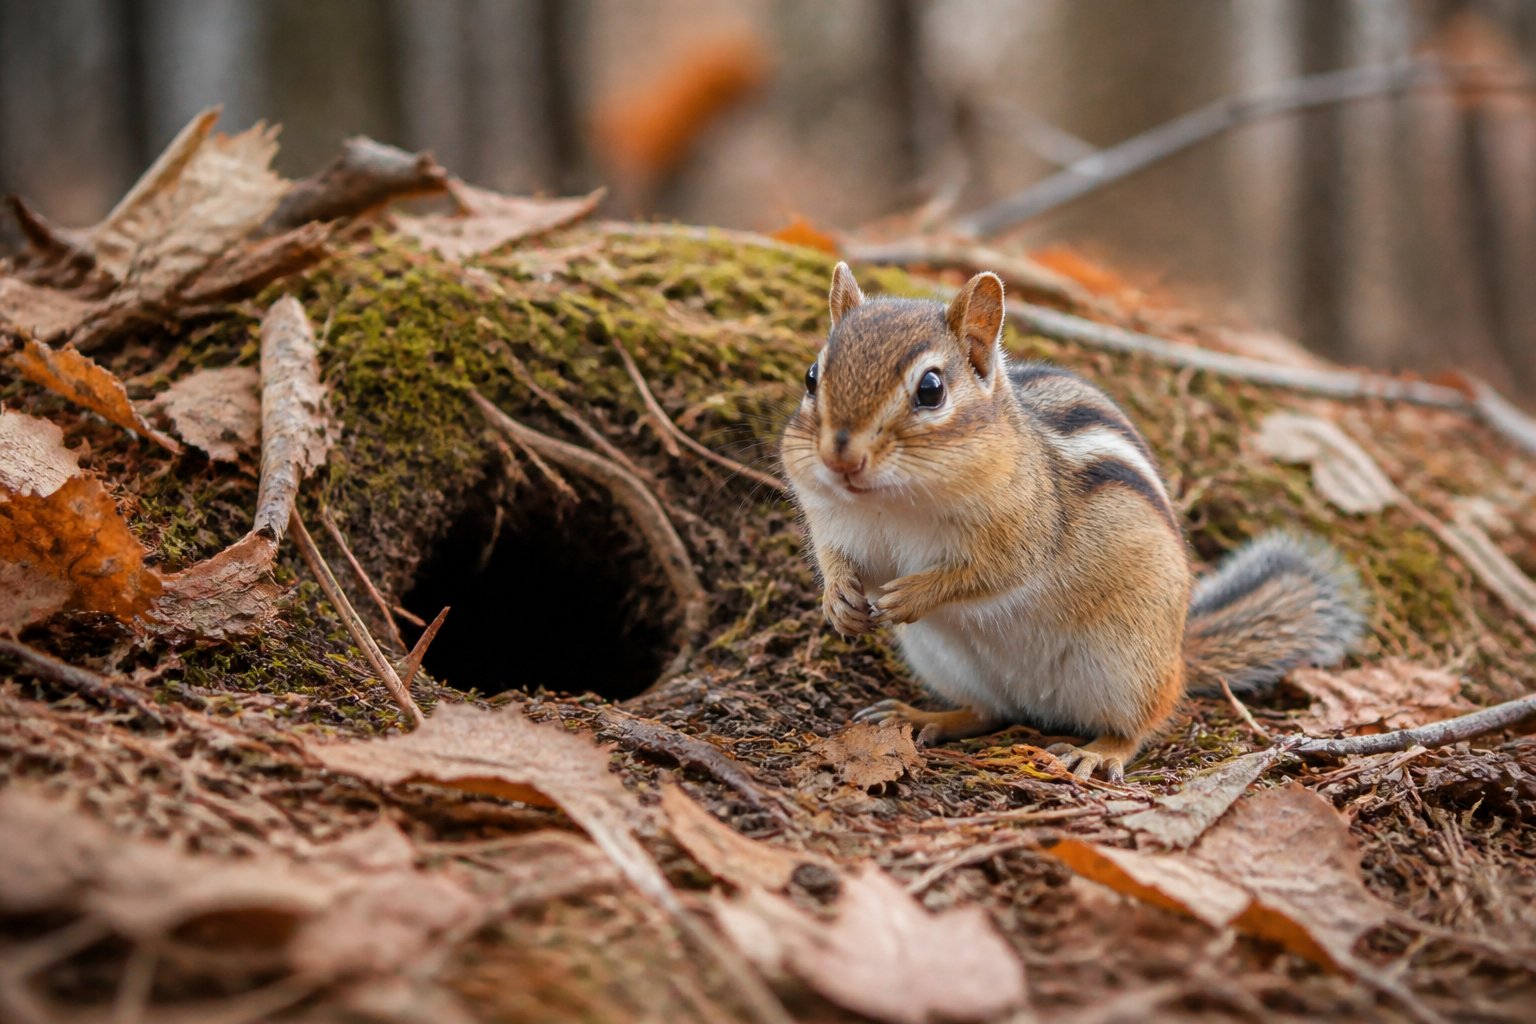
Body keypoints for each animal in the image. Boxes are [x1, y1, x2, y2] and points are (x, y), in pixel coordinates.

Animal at [779, 263, 1368, 781]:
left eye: (931, 389)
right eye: (811, 376)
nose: (841, 457)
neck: (892, 502)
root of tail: (1179, 652)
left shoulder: (1027, 529)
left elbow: (990, 572)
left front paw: (912, 594)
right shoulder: (829, 517)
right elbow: (833, 558)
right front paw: (838, 600)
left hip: (1126, 662)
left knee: (1143, 721)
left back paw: (1098, 752)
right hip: (944, 661)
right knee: (987, 711)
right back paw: (923, 715)